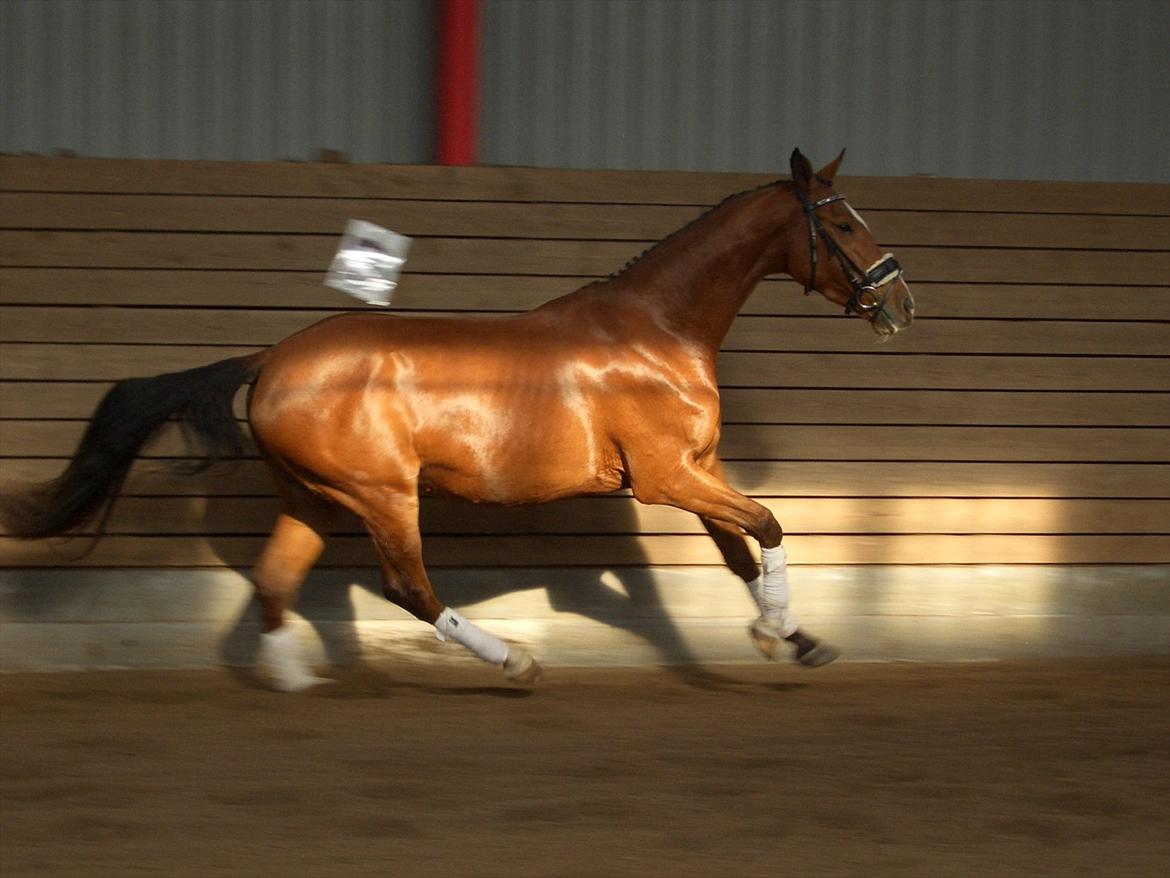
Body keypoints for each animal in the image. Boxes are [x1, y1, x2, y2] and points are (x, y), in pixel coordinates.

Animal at [0, 149, 912, 688]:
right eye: (840, 222)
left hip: (311, 499)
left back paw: (296, 682)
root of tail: (272, 360)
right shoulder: (665, 479)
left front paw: (793, 638)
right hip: (380, 495)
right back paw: (513, 660)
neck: (657, 330)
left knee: (273, 583)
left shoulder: (699, 470)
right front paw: (780, 632)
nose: (900, 303)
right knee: (407, 587)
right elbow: (769, 527)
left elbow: (742, 550)